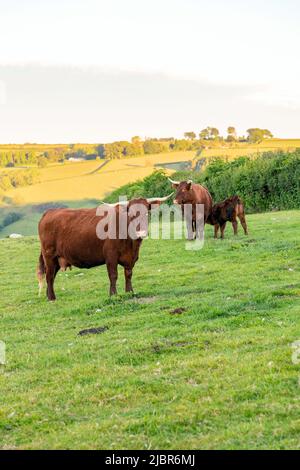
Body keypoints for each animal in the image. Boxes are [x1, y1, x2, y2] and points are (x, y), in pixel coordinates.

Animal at [37, 196, 172, 302]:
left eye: (147, 213)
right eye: (131, 215)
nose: (141, 233)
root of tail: (49, 213)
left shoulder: (130, 258)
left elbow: (128, 274)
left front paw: (130, 292)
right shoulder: (111, 256)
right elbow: (113, 275)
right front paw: (113, 295)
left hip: (57, 259)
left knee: (51, 276)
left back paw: (48, 296)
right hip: (49, 255)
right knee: (49, 276)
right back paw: (52, 298)